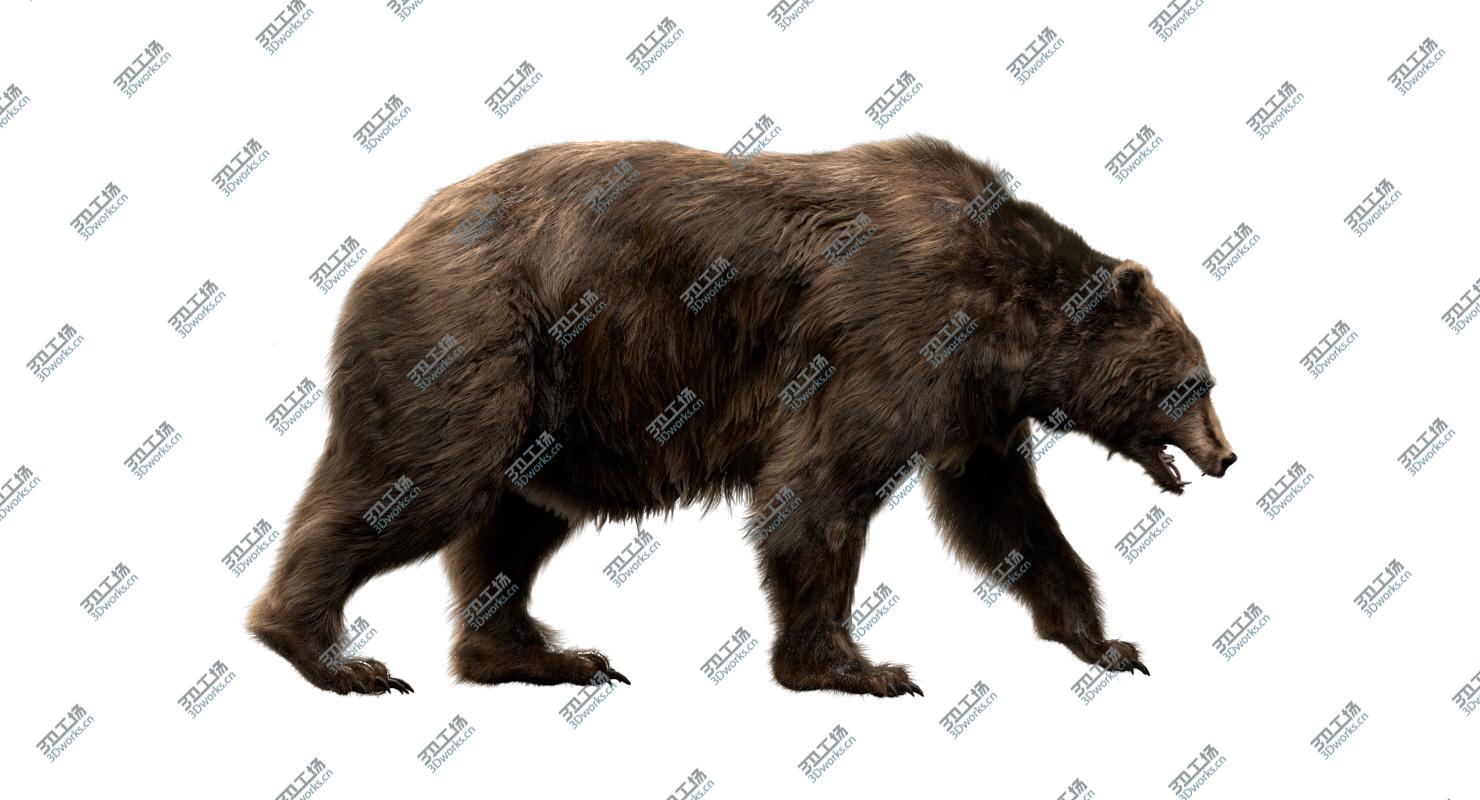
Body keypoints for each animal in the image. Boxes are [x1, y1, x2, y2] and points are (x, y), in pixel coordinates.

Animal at [247, 134, 1236, 698]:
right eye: (1194, 383)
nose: (1227, 457)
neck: (1002, 318)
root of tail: (394, 238)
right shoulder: (888, 336)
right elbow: (818, 489)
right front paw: (859, 668)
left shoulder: (973, 405)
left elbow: (1009, 517)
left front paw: (1108, 643)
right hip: (474, 338)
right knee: (419, 485)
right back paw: (327, 653)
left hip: (551, 406)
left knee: (511, 526)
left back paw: (543, 656)